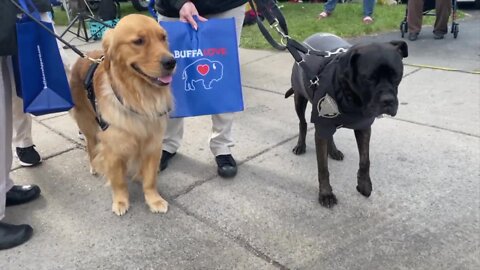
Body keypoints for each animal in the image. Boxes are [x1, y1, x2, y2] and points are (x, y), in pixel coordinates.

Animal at [68, 15, 175, 217]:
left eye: (163, 38)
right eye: (138, 41)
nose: (171, 62)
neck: (139, 94)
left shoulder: (153, 142)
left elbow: (150, 179)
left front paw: (154, 200)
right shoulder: (113, 146)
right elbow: (118, 180)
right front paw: (120, 201)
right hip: (88, 125)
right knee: (90, 146)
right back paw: (93, 165)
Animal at [286, 33, 406, 207]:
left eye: (396, 75)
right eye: (369, 78)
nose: (388, 101)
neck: (350, 94)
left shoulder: (363, 127)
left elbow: (365, 160)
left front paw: (364, 185)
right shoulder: (321, 125)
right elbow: (323, 167)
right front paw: (326, 193)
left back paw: (333, 151)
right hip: (299, 98)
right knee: (303, 123)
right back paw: (301, 145)